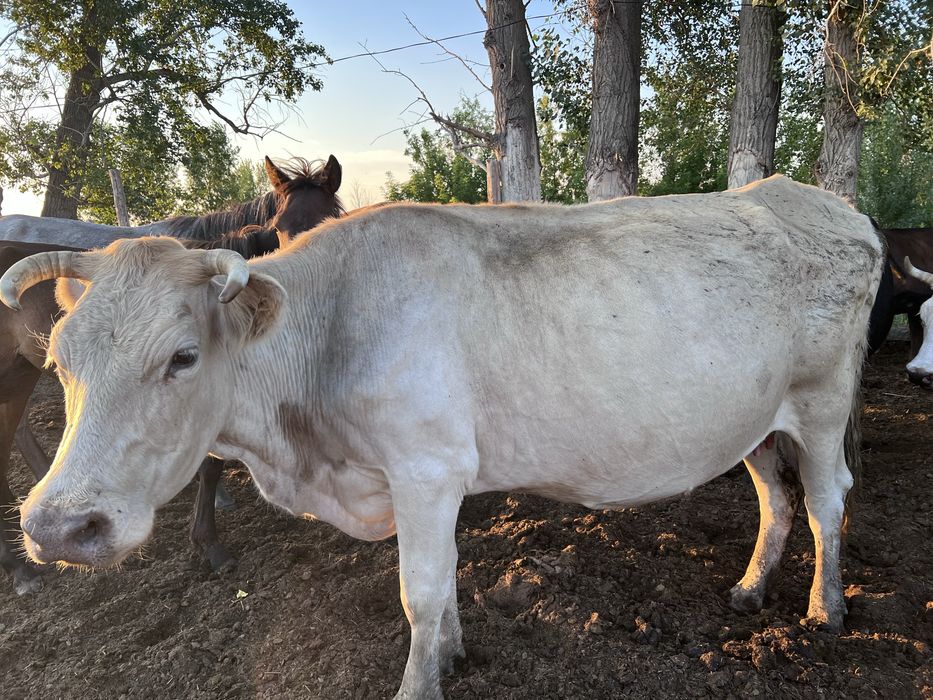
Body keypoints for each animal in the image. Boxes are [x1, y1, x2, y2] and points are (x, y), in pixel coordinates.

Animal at [0, 176, 883, 699]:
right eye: (61, 359)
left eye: (182, 356)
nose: (58, 527)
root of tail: (817, 196)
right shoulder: (424, 479)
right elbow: (447, 581)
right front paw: (453, 656)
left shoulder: (426, 467)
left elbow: (419, 591)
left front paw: (421, 682)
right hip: (752, 419)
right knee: (775, 497)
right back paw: (750, 588)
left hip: (821, 401)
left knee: (826, 500)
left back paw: (824, 609)